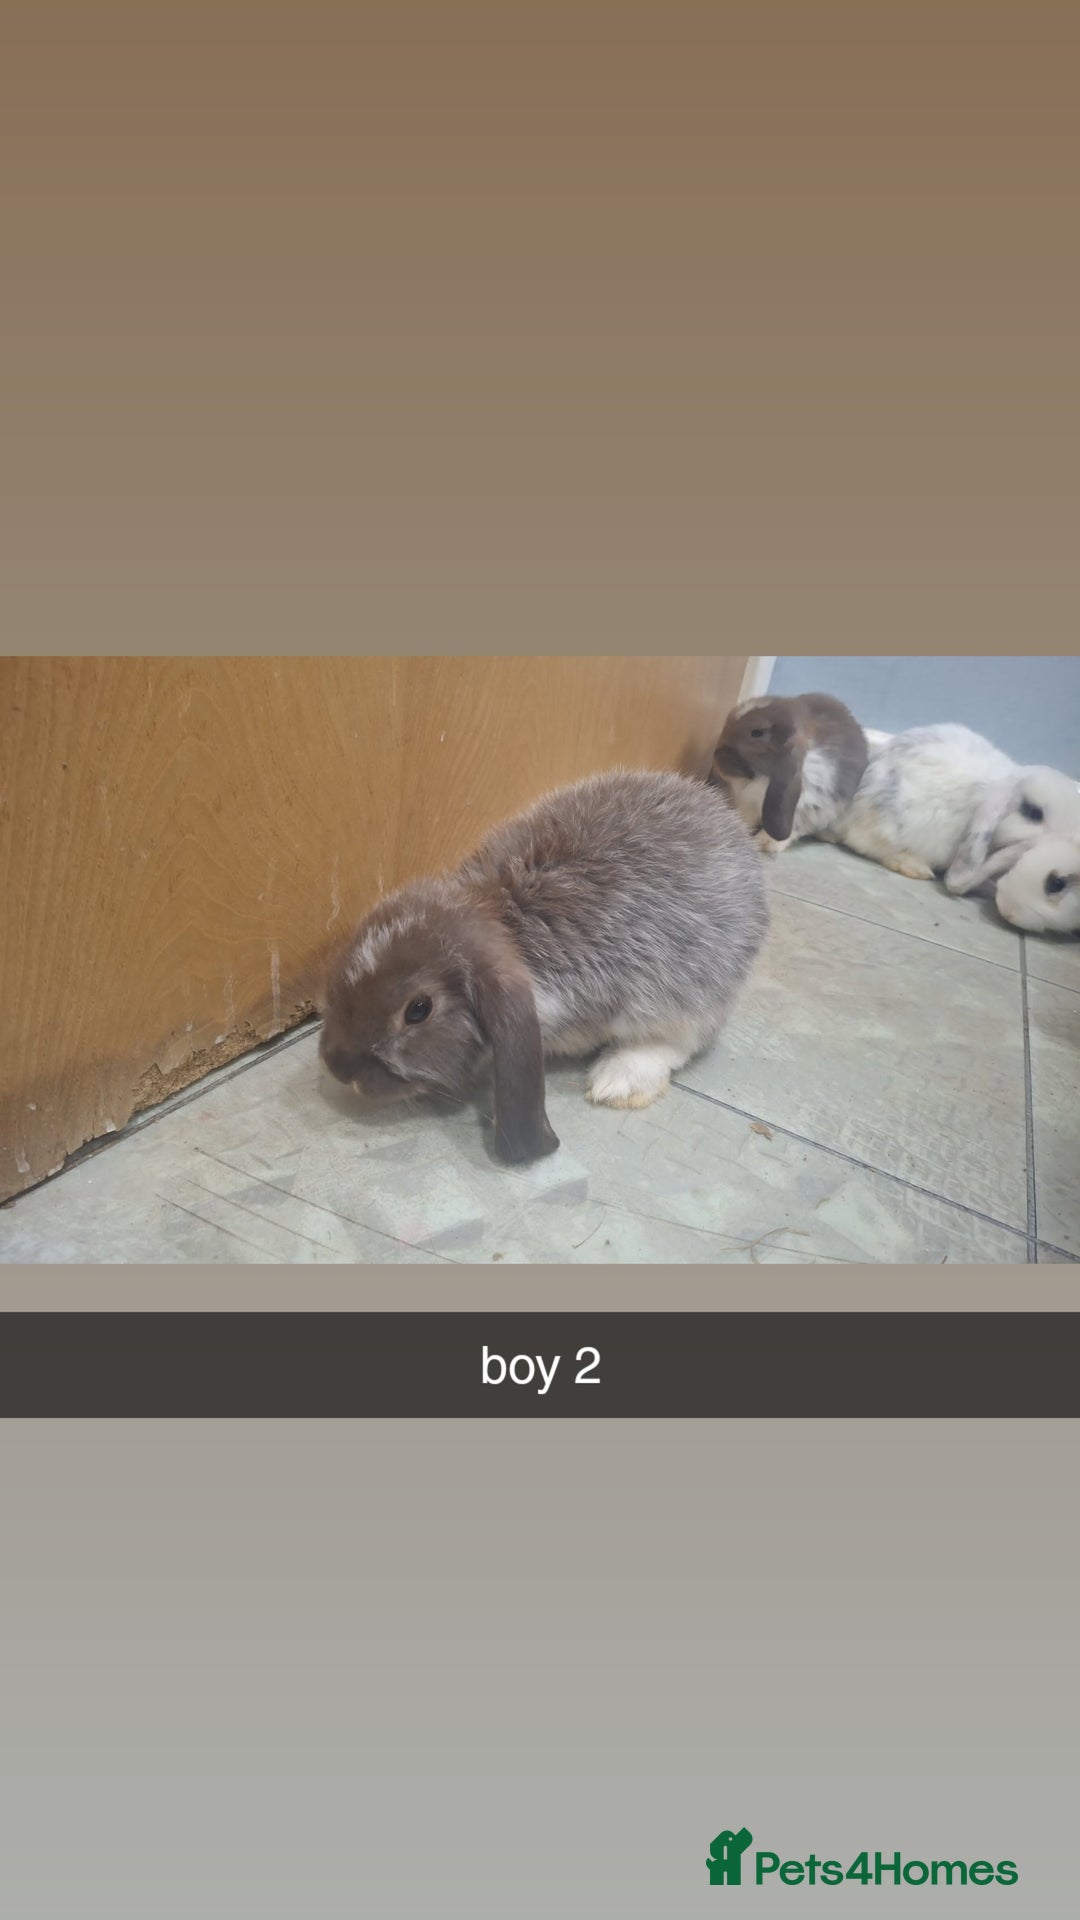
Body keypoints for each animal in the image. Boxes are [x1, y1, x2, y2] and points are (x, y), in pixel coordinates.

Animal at [319, 768, 769, 1164]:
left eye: (418, 1010)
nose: (337, 1066)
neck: (503, 919)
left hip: (692, 992)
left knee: (679, 1040)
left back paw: (615, 1081)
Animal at [707, 692, 869, 856]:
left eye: (757, 733)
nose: (716, 755)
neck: (761, 779)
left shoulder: (808, 807)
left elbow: (794, 828)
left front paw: (764, 844)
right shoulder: (746, 801)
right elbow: (746, 817)